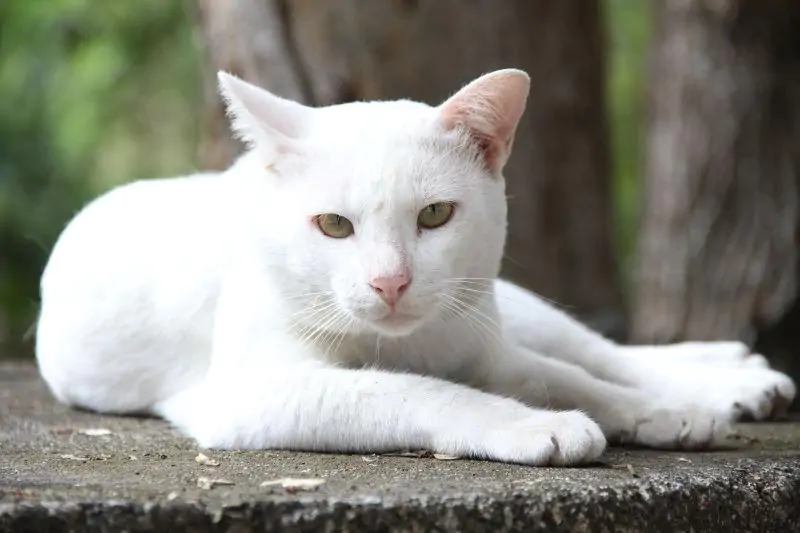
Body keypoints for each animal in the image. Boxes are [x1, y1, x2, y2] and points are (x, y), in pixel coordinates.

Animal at [36, 69, 792, 466]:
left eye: (434, 215)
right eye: (333, 225)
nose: (390, 282)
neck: (409, 342)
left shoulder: (487, 349)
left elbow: (570, 377)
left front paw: (654, 412)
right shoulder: (254, 391)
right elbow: (416, 391)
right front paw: (535, 426)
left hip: (501, 305)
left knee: (595, 349)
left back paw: (723, 377)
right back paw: (733, 378)